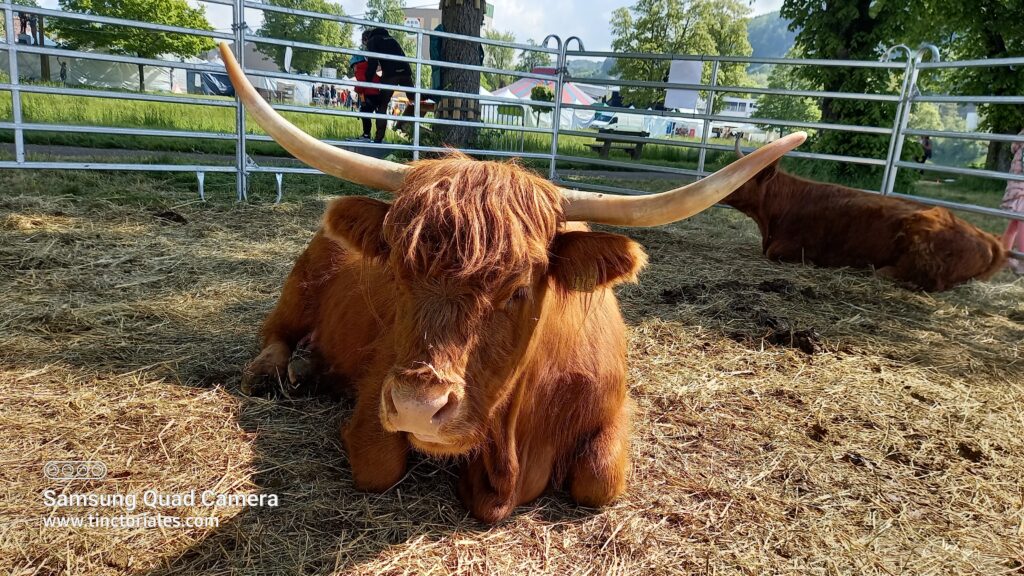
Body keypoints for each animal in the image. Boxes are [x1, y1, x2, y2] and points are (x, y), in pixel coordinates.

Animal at [219, 43, 806, 523]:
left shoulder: (611, 415)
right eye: (399, 275)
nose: (417, 406)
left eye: (519, 290)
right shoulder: (373, 403)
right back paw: (278, 371)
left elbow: (601, 480)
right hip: (298, 288)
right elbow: (378, 465)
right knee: (274, 333)